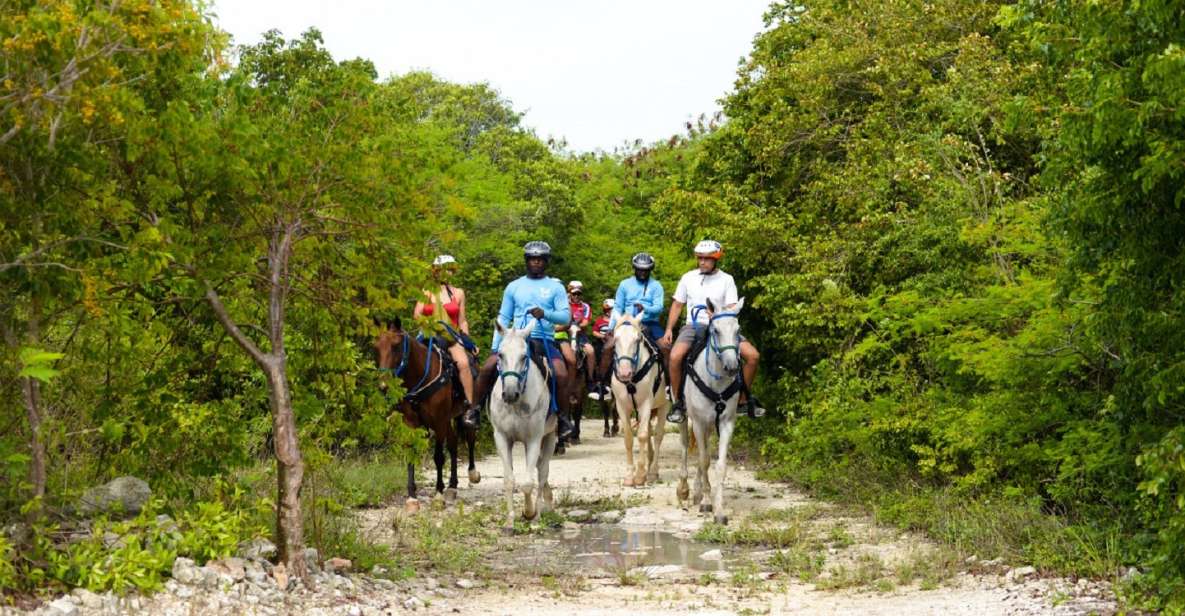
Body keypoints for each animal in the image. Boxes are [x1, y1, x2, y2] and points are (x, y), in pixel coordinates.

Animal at [374, 319, 476, 502]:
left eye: (396, 346)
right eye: (376, 347)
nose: (384, 386)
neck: (422, 375)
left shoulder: (439, 421)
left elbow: (438, 457)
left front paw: (438, 491)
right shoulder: (411, 422)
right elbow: (410, 452)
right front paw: (411, 495)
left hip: (464, 412)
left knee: (470, 437)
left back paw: (472, 473)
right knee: (453, 443)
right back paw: (452, 485)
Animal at [492, 319, 561, 530]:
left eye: (524, 356)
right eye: (500, 354)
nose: (509, 394)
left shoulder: (533, 440)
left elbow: (528, 483)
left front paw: (529, 513)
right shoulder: (502, 437)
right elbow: (509, 480)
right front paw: (510, 521)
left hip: (550, 437)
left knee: (542, 471)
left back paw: (539, 514)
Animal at [611, 315, 668, 488]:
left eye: (637, 339)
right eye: (615, 339)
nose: (624, 372)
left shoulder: (646, 405)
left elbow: (642, 436)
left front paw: (640, 475)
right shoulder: (622, 407)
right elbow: (629, 438)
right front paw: (630, 476)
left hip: (664, 406)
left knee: (658, 436)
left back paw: (653, 472)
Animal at [682, 298, 744, 523]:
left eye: (738, 330)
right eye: (715, 330)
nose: (732, 366)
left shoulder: (726, 423)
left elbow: (719, 465)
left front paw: (719, 510)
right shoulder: (699, 423)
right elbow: (704, 460)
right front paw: (707, 503)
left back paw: (697, 492)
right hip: (687, 420)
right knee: (686, 448)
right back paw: (684, 491)